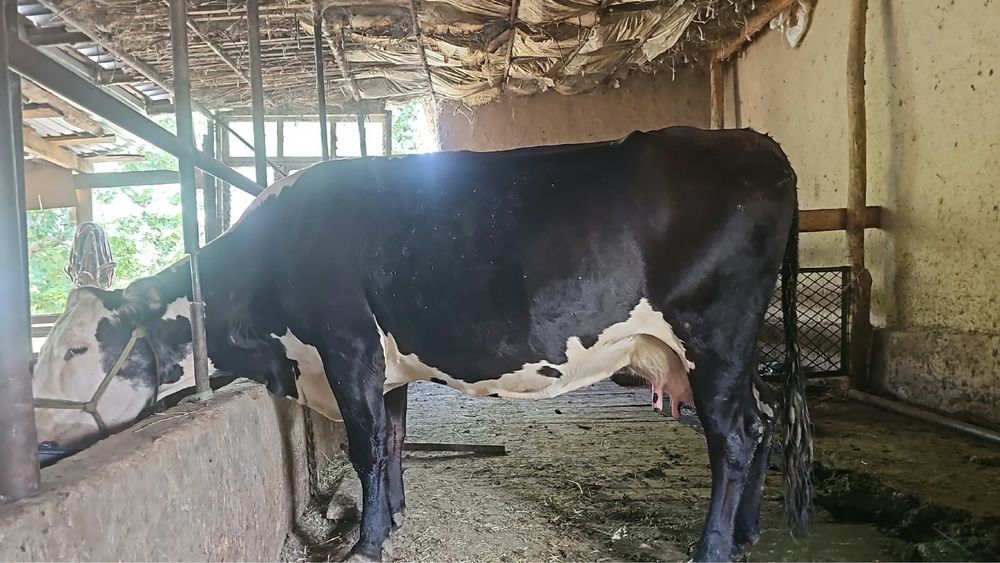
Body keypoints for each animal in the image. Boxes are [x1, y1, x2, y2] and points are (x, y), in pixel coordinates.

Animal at [31, 126, 812, 562]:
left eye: (75, 350)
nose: (33, 437)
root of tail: (757, 143)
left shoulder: (346, 344)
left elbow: (366, 445)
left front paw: (368, 542)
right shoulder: (384, 360)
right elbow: (394, 437)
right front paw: (397, 515)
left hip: (715, 334)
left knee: (734, 437)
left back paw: (713, 548)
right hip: (729, 350)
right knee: (763, 420)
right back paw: (747, 532)